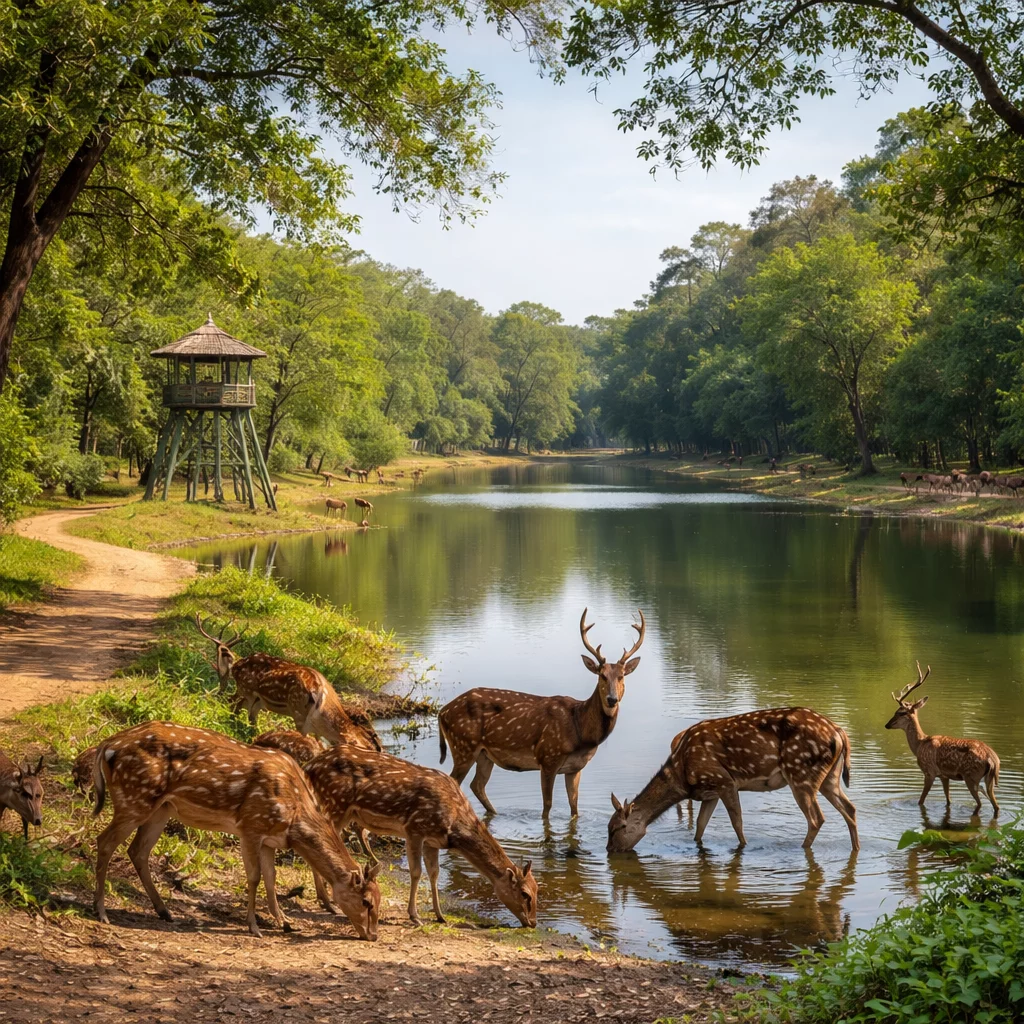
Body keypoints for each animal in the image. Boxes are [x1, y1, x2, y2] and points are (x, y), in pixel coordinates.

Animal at [91, 722, 381, 938]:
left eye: (378, 901)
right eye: (366, 902)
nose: (373, 935)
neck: (295, 814)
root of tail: (106, 746)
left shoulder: (270, 838)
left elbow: (271, 877)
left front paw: (285, 922)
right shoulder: (251, 825)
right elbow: (254, 877)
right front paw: (253, 926)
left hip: (160, 809)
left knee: (137, 850)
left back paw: (164, 911)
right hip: (134, 798)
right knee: (104, 841)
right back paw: (101, 911)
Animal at [304, 745, 538, 928]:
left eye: (537, 888)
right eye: (525, 893)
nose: (533, 922)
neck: (453, 825)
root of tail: (311, 766)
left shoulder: (433, 840)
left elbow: (434, 873)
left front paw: (440, 915)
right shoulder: (414, 829)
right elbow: (416, 872)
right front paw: (415, 916)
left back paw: (325, 900)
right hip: (336, 804)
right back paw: (327, 902)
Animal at [438, 609, 645, 818]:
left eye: (621, 676)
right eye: (602, 676)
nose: (612, 699)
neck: (581, 733)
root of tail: (442, 712)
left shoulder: (575, 768)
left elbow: (574, 807)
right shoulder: (548, 757)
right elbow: (547, 806)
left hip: (484, 754)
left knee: (477, 785)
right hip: (463, 744)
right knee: (453, 782)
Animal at [606, 707, 859, 853]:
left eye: (617, 828)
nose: (610, 850)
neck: (683, 776)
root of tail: (839, 732)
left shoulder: (724, 780)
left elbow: (737, 823)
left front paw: (743, 847)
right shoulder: (710, 793)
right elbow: (700, 827)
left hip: (800, 773)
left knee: (817, 818)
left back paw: (800, 848)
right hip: (830, 778)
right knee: (850, 808)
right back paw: (855, 848)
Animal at [885, 662, 1000, 815]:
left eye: (901, 712)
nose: (887, 725)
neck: (920, 744)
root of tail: (993, 760)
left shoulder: (929, 771)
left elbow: (921, 801)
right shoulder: (944, 776)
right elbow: (948, 800)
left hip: (971, 776)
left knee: (981, 803)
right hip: (989, 780)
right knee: (996, 805)